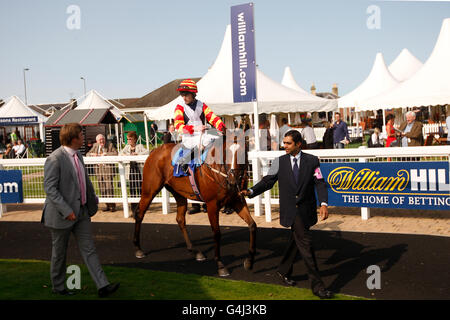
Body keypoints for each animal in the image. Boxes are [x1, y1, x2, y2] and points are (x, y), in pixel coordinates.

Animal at [132, 131, 255, 276]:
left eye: (243, 152)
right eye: (226, 153)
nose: (232, 181)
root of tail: (155, 151)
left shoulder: (237, 201)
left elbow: (252, 225)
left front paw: (250, 261)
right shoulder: (212, 205)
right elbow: (217, 233)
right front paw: (220, 265)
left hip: (179, 194)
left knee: (180, 219)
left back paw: (195, 251)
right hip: (149, 190)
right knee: (140, 213)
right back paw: (138, 249)